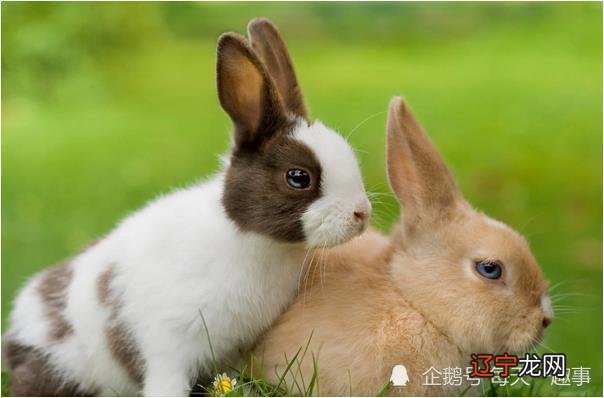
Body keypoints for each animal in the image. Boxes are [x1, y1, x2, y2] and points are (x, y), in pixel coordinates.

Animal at [3, 19, 372, 398]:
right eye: (298, 177)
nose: (362, 213)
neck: (250, 239)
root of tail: (15, 333)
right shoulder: (169, 342)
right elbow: (166, 379)